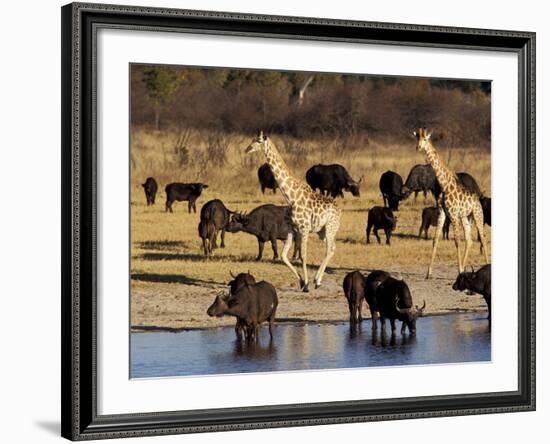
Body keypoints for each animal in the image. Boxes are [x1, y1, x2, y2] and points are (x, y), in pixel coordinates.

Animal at [245, 131, 340, 292]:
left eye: (258, 141)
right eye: (252, 140)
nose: (247, 149)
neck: (291, 196)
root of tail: (340, 211)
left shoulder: (304, 228)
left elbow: (303, 256)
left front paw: (306, 284)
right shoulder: (292, 228)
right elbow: (284, 256)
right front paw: (301, 281)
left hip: (330, 228)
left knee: (329, 249)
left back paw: (316, 281)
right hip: (322, 231)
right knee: (332, 248)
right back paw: (317, 280)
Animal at [414, 126, 492, 278]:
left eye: (425, 139)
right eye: (417, 138)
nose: (418, 147)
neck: (444, 185)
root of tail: (478, 200)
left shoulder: (453, 214)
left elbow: (456, 241)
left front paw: (459, 270)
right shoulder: (442, 213)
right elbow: (435, 240)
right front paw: (428, 273)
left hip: (477, 215)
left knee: (483, 237)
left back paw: (484, 266)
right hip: (465, 217)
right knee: (469, 240)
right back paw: (465, 266)